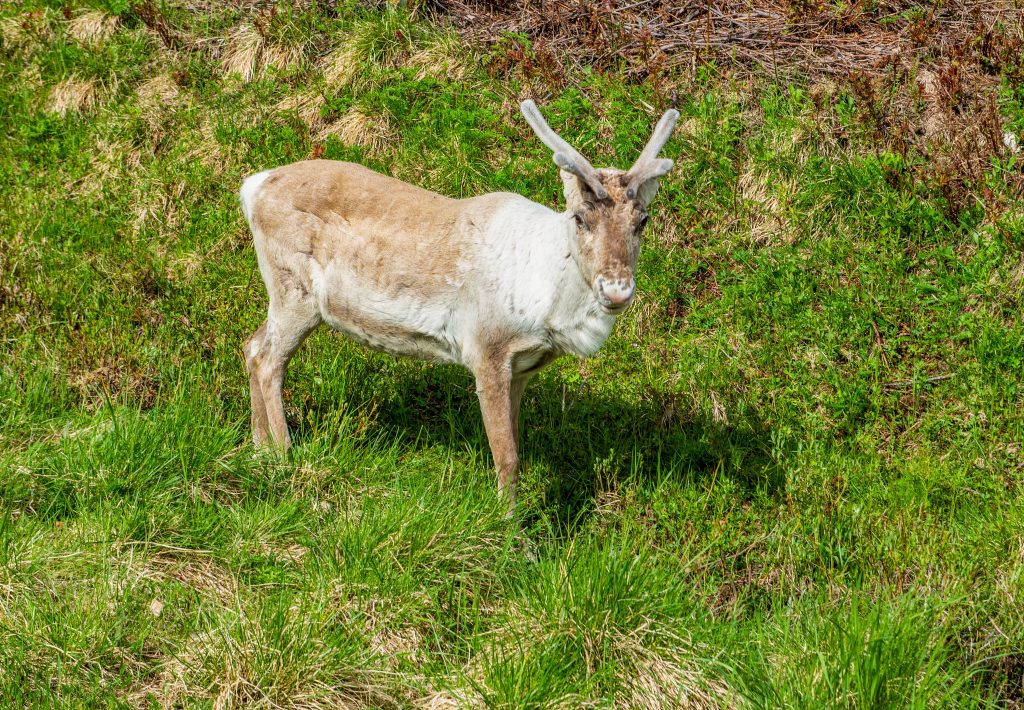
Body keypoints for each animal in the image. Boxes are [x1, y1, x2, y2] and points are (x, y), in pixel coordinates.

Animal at [240, 100, 679, 504]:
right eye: (580, 217)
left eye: (642, 220)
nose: (616, 290)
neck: (545, 304)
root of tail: (252, 187)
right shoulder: (486, 348)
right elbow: (507, 458)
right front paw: (510, 525)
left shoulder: (523, 367)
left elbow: (515, 448)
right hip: (294, 291)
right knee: (269, 359)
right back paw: (284, 454)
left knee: (252, 345)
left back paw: (259, 449)